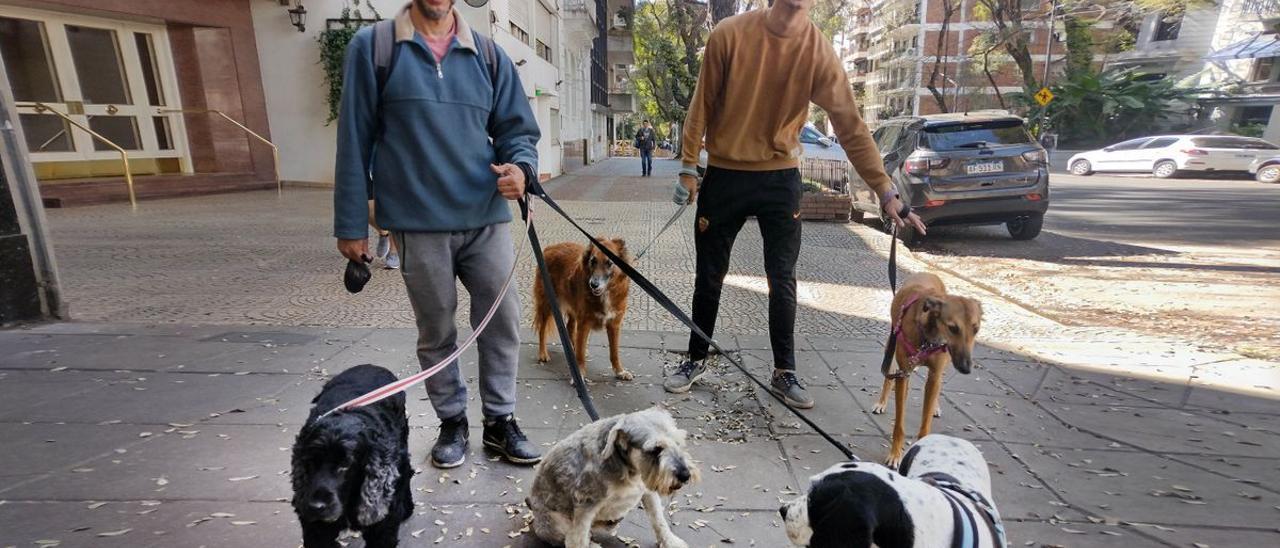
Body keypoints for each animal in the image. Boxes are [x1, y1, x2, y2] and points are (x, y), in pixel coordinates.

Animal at [527, 407, 701, 548]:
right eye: (655, 449)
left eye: (678, 441)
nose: (685, 475)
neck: (630, 470)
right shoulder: (586, 505)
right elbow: (578, 539)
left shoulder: (648, 492)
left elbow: (659, 520)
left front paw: (671, 542)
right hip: (556, 522)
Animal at [532, 238, 632, 384]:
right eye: (593, 261)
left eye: (609, 263)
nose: (593, 284)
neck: (605, 294)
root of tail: (550, 248)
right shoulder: (584, 324)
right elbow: (580, 356)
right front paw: (579, 375)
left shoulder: (614, 325)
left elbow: (614, 353)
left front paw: (620, 371)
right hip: (548, 304)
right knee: (542, 329)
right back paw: (542, 353)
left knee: (569, 327)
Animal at [875, 272, 983, 466]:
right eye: (953, 328)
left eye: (976, 329)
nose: (966, 368)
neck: (928, 338)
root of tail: (926, 273)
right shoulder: (904, 373)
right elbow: (899, 423)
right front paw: (895, 454)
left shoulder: (934, 374)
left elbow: (925, 423)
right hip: (891, 346)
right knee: (889, 377)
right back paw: (882, 402)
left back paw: (935, 407)